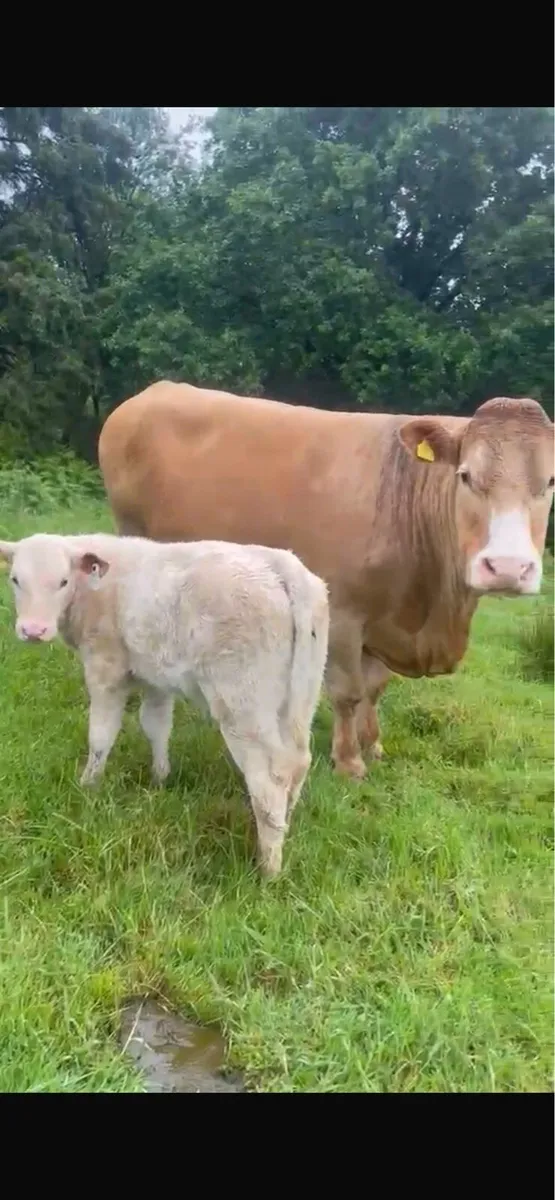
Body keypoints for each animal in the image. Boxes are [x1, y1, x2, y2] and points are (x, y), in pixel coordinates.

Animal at [0, 532, 329, 877]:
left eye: (63, 581)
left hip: (243, 704)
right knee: (297, 764)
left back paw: (268, 869)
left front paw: (88, 786)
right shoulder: (155, 677)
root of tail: (281, 566)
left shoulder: (105, 668)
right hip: (301, 697)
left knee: (269, 782)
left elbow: (101, 735)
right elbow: (156, 726)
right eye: (15, 579)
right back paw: (283, 830)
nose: (33, 630)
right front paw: (160, 778)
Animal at [97, 382, 554, 780]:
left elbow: (374, 688)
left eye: (550, 482)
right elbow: (348, 692)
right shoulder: (344, 614)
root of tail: (155, 391)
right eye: (465, 476)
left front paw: (373, 744)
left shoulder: (384, 620)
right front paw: (349, 761)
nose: (508, 567)